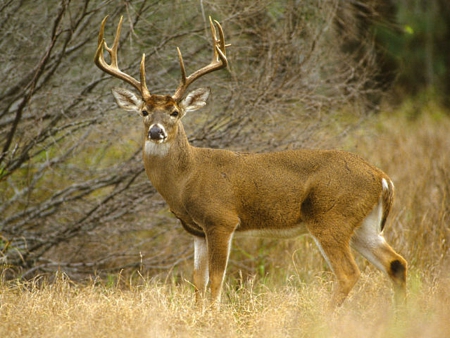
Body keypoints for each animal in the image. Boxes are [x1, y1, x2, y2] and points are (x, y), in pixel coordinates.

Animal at [95, 15, 408, 308]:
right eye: (144, 111)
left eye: (175, 112)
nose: (155, 132)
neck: (187, 178)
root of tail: (382, 177)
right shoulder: (196, 230)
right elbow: (197, 281)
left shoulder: (221, 219)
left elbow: (216, 280)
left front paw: (213, 316)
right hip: (363, 224)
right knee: (396, 263)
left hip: (330, 216)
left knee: (349, 272)